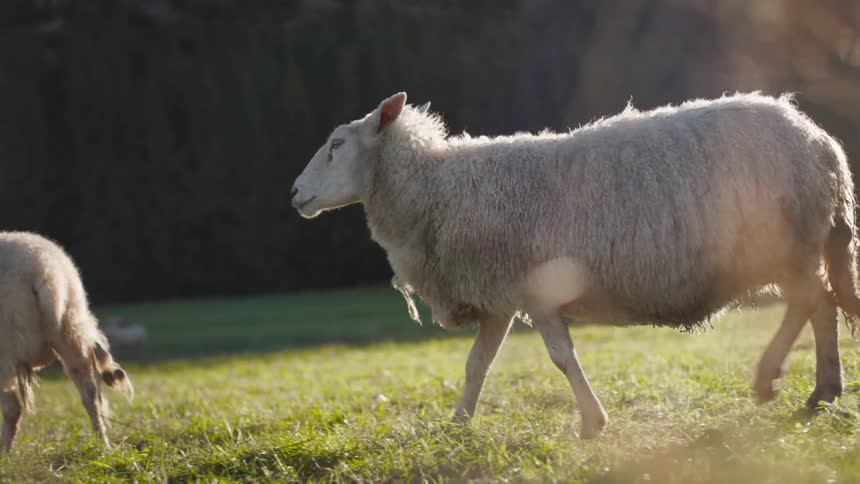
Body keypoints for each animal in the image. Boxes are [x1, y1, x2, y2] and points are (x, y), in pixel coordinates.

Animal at [0, 232, 132, 453]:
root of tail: (43, 270)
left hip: (7, 345)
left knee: (12, 409)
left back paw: (5, 454)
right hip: (71, 327)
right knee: (90, 393)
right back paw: (103, 444)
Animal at [291, 91, 860, 438]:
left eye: (336, 144)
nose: (295, 194)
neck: (434, 188)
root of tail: (821, 143)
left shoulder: (535, 291)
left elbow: (562, 357)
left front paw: (592, 423)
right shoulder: (499, 295)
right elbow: (478, 364)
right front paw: (458, 424)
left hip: (786, 243)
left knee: (812, 301)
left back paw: (774, 380)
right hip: (799, 245)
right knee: (822, 305)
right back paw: (824, 391)